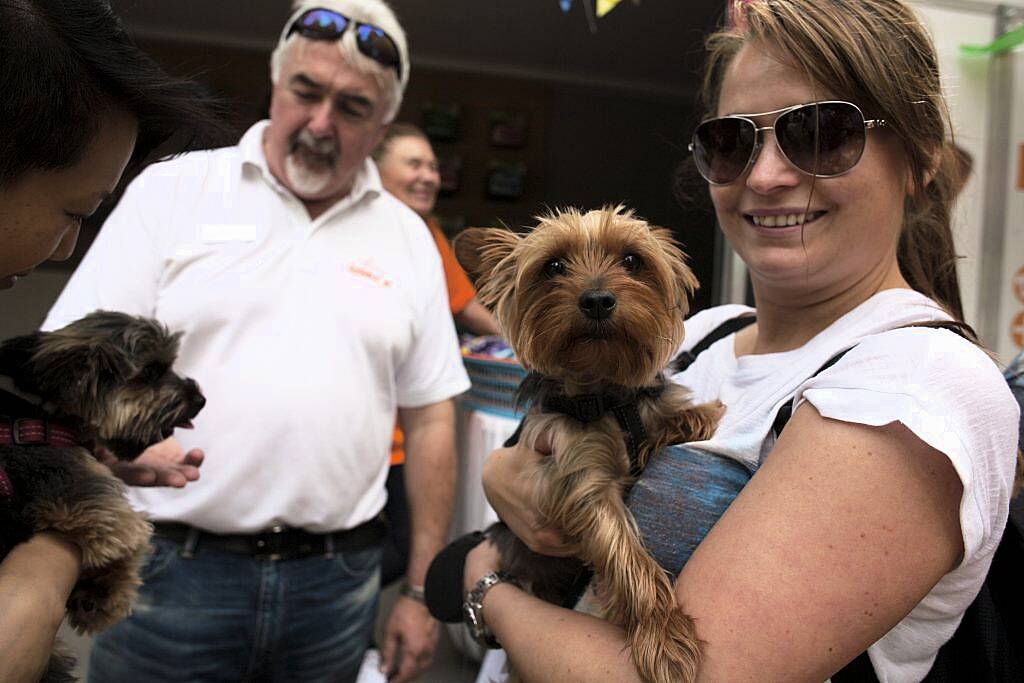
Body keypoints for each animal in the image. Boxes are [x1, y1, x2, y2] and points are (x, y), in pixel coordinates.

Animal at [0, 311, 205, 683]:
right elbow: (130, 543)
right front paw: (108, 595)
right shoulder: (93, 500)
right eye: (151, 372)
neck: (44, 411)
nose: (200, 399)